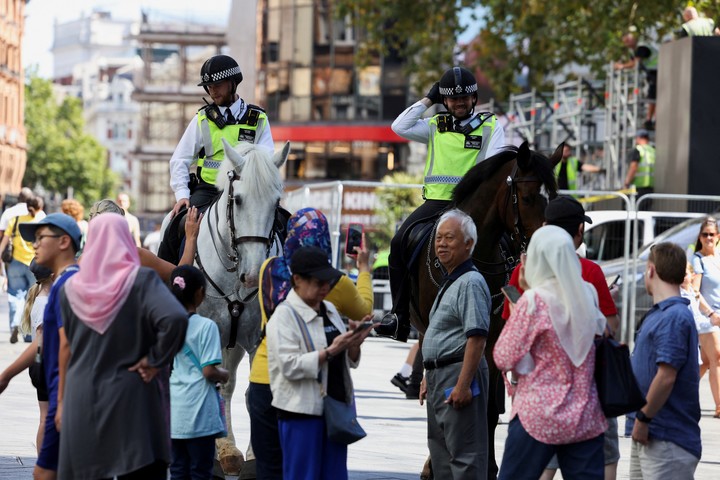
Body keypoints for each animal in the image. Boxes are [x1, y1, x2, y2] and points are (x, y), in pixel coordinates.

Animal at [191, 138, 290, 472]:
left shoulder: (257, 337)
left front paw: (255, 451)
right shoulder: (211, 333)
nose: (253, 274)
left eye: (275, 203)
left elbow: (254, 390)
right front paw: (224, 449)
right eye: (239, 200)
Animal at [410, 141, 564, 478]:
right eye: (529, 197)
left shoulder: (490, 340)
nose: (547, 248)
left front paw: (490, 467)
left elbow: (490, 409)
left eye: (555, 196)